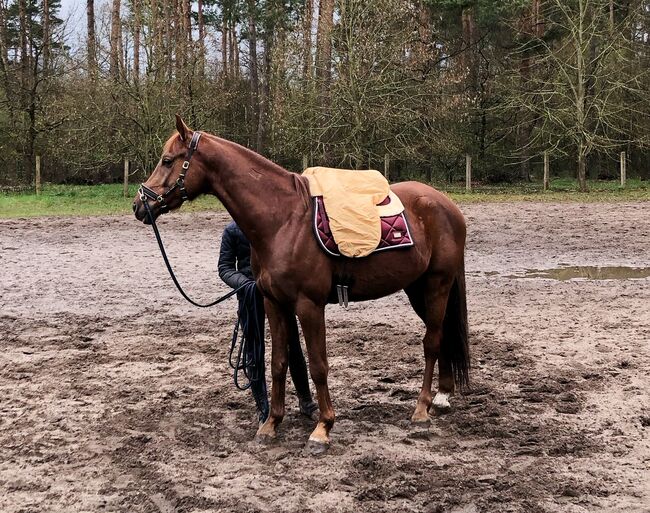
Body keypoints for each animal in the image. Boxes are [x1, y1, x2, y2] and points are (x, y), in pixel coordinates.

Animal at [134, 117, 466, 452]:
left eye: (167, 160)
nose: (140, 204)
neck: (284, 220)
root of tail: (446, 204)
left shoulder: (309, 305)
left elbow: (318, 365)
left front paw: (322, 428)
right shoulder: (273, 302)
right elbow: (279, 363)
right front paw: (270, 424)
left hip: (436, 285)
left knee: (431, 342)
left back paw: (422, 409)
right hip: (417, 289)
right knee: (443, 335)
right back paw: (441, 396)